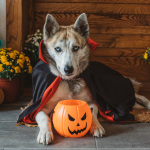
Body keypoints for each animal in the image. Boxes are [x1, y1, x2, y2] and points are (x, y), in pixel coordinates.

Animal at [34, 13, 150, 145]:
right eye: (58, 49)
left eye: (76, 48)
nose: (68, 70)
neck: (70, 81)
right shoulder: (39, 107)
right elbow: (44, 118)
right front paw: (45, 133)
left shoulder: (93, 101)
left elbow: (91, 112)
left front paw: (97, 126)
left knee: (139, 96)